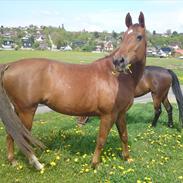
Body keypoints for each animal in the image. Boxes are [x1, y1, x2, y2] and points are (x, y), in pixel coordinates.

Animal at [0, 12, 147, 170]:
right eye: (123, 37)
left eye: (139, 36)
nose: (119, 61)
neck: (116, 77)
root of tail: (10, 65)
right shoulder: (108, 115)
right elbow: (101, 139)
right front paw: (95, 164)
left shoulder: (120, 114)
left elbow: (124, 136)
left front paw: (127, 159)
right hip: (27, 111)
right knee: (22, 135)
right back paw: (36, 164)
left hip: (18, 111)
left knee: (12, 134)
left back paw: (13, 160)